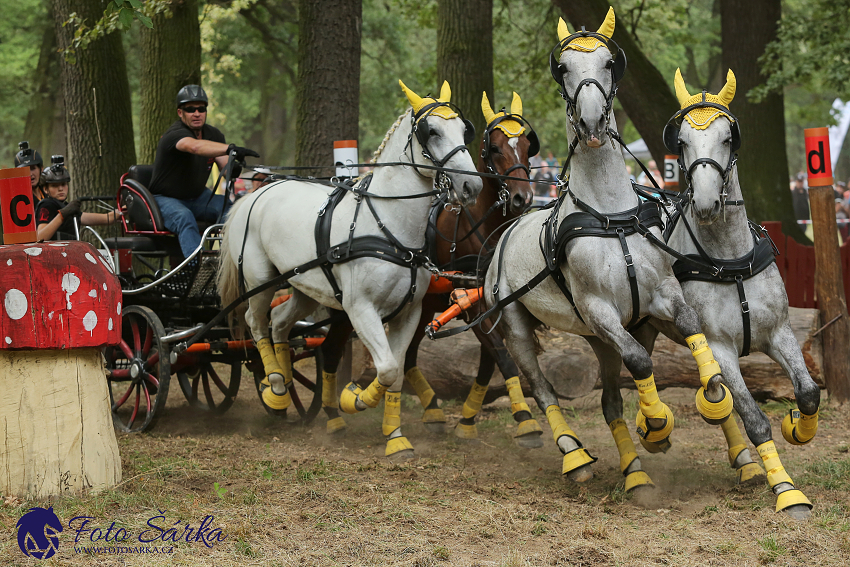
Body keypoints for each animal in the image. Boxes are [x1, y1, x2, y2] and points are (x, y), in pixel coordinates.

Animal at [217, 80, 484, 460]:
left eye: (464, 130)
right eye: (430, 131)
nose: (471, 186)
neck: (389, 227)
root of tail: (256, 193)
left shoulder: (410, 312)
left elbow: (395, 373)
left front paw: (395, 437)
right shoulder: (360, 309)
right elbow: (386, 368)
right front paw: (351, 399)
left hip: (303, 286)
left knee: (280, 322)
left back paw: (284, 385)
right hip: (261, 281)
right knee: (257, 324)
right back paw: (275, 386)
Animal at [484, 6, 728, 488]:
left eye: (609, 63)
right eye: (563, 67)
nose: (593, 123)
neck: (610, 218)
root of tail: (508, 227)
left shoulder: (661, 294)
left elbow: (691, 326)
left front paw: (713, 389)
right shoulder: (599, 309)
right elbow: (640, 361)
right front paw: (657, 423)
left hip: (597, 339)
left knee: (609, 398)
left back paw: (632, 470)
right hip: (519, 324)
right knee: (542, 389)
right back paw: (573, 454)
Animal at [612, 70, 820, 520]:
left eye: (728, 137)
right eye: (682, 141)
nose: (707, 202)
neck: (729, 260)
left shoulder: (780, 332)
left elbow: (809, 392)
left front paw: (798, 427)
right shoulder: (721, 347)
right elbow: (753, 415)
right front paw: (786, 489)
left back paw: (741, 461)